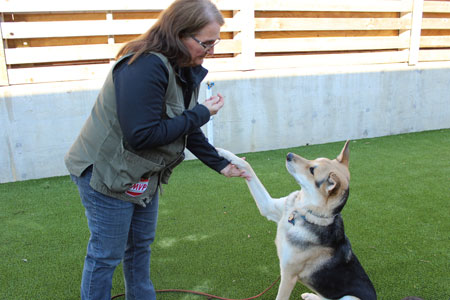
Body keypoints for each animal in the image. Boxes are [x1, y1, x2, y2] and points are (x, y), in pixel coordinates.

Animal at [218, 141, 376, 300]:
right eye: (314, 160)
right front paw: (222, 152)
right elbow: (247, 166)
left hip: (349, 297)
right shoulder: (268, 206)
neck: (302, 213)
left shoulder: (288, 276)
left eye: (312, 170)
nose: (289, 155)